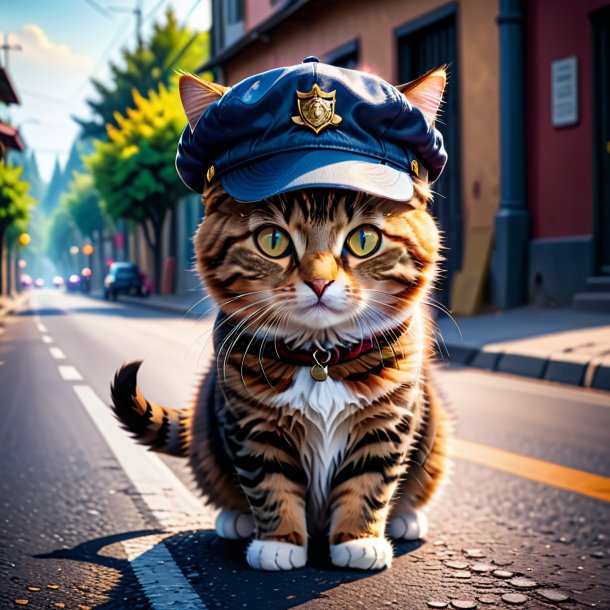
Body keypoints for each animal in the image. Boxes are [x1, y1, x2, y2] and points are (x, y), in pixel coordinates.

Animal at [110, 64, 452, 568]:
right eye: (272, 241)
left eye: (364, 239)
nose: (319, 282)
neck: (320, 357)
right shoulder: (250, 423)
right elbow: (269, 483)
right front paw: (279, 543)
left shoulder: (389, 418)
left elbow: (369, 480)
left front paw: (358, 540)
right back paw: (235, 520)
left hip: (435, 430)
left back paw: (406, 517)